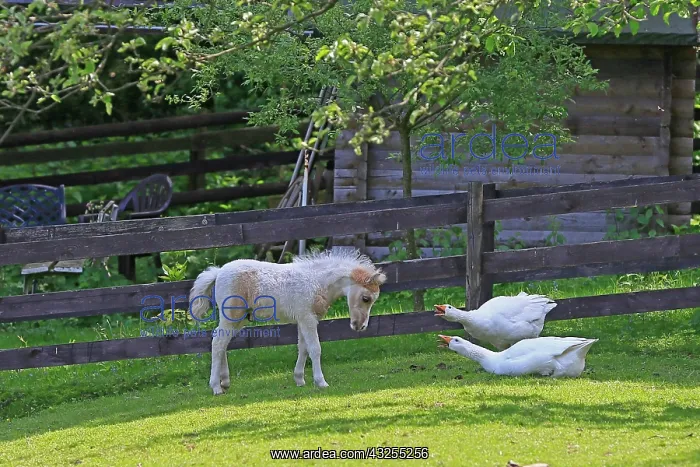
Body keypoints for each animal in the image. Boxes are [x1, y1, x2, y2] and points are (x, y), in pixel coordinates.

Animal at [188, 248, 387, 395]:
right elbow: (315, 349)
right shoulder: (308, 318)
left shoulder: (303, 320)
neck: (317, 281)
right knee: (218, 342)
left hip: (240, 319)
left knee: (222, 342)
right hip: (231, 316)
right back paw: (216, 387)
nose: (360, 326)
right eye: (366, 298)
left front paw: (299, 379)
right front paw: (321, 382)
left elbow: (303, 348)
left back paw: (225, 382)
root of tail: (218, 272)